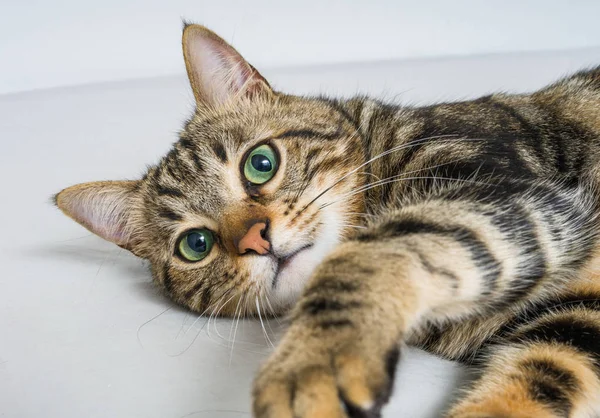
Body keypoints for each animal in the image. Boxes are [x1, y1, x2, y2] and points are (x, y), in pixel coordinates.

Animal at [57, 23, 600, 418]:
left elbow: (367, 258)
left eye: (260, 163)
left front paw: (312, 362)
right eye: (195, 245)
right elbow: (540, 378)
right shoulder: (572, 316)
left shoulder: (505, 187)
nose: (256, 239)